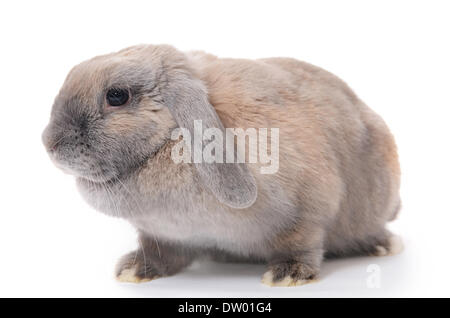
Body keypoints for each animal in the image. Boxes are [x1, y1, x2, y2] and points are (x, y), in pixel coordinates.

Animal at [41, 44, 400, 286]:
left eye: (117, 96)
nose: (49, 143)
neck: (169, 141)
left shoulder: (309, 210)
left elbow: (302, 242)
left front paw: (287, 275)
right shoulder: (162, 233)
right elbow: (159, 252)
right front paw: (133, 270)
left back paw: (382, 245)